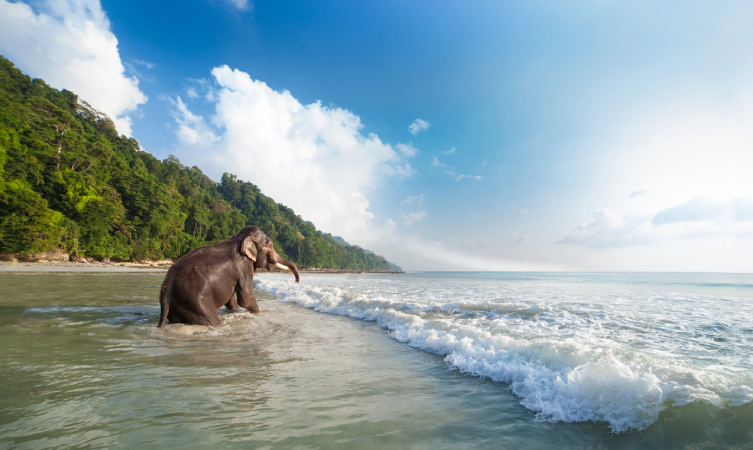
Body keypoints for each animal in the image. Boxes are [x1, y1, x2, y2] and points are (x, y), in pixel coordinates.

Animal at [157, 225, 300, 327]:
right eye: (270, 245)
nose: (297, 281)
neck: (240, 238)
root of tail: (167, 289)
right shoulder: (243, 266)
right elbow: (246, 298)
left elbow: (231, 297)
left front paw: (236, 311)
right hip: (195, 301)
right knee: (211, 320)